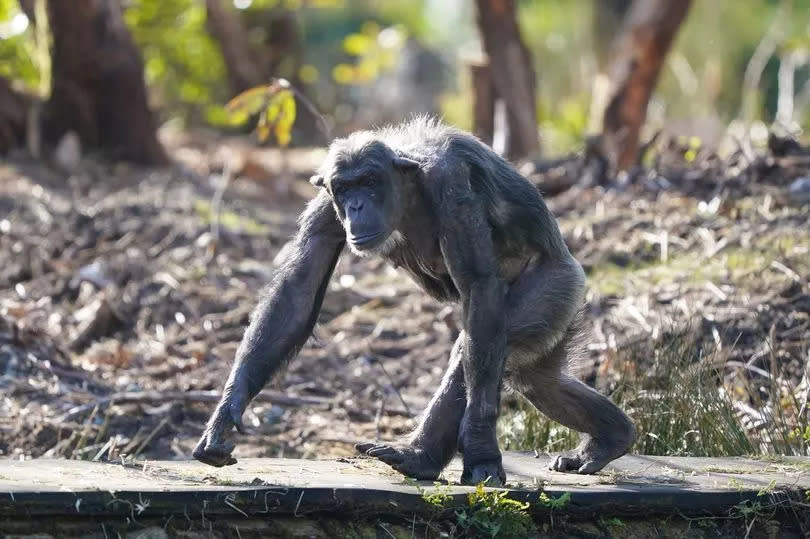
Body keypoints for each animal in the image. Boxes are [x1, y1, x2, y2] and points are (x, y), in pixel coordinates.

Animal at [193, 117, 636, 486]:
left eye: (370, 181)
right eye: (345, 188)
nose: (355, 205)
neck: (407, 191)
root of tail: (577, 272)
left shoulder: (451, 188)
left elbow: (478, 284)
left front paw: (480, 451)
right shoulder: (323, 208)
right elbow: (297, 291)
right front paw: (226, 414)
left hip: (553, 287)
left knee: (478, 348)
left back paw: (421, 456)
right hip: (557, 315)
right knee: (539, 380)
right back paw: (608, 440)